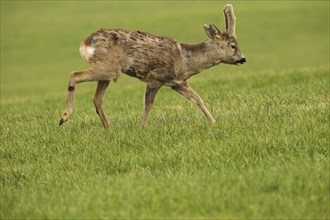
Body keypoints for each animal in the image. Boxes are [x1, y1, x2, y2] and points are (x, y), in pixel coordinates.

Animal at [58, 4, 245, 130]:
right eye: (233, 45)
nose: (243, 59)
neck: (186, 61)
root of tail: (85, 43)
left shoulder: (178, 83)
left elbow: (198, 99)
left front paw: (214, 123)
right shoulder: (156, 77)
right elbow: (148, 104)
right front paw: (142, 128)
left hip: (108, 72)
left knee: (97, 98)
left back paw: (109, 130)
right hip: (107, 67)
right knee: (74, 74)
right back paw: (64, 117)